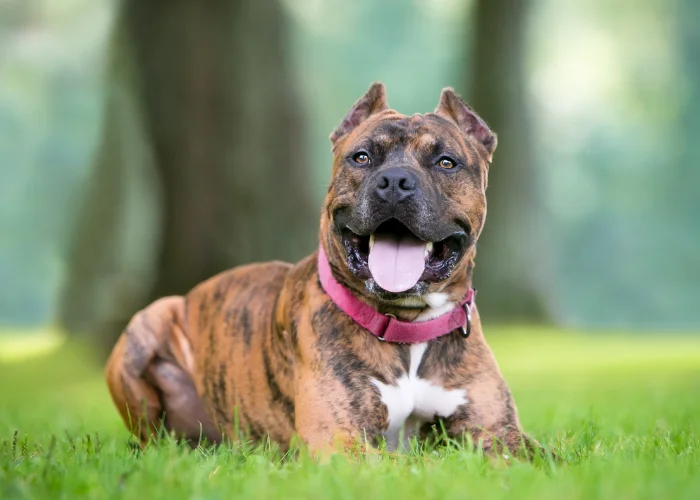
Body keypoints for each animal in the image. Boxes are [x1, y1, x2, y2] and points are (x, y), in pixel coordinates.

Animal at [105, 83, 540, 458]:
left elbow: (542, 456)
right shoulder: (339, 439)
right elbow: (413, 463)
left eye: (446, 162)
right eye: (361, 157)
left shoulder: (498, 431)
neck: (406, 325)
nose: (395, 181)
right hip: (145, 330)